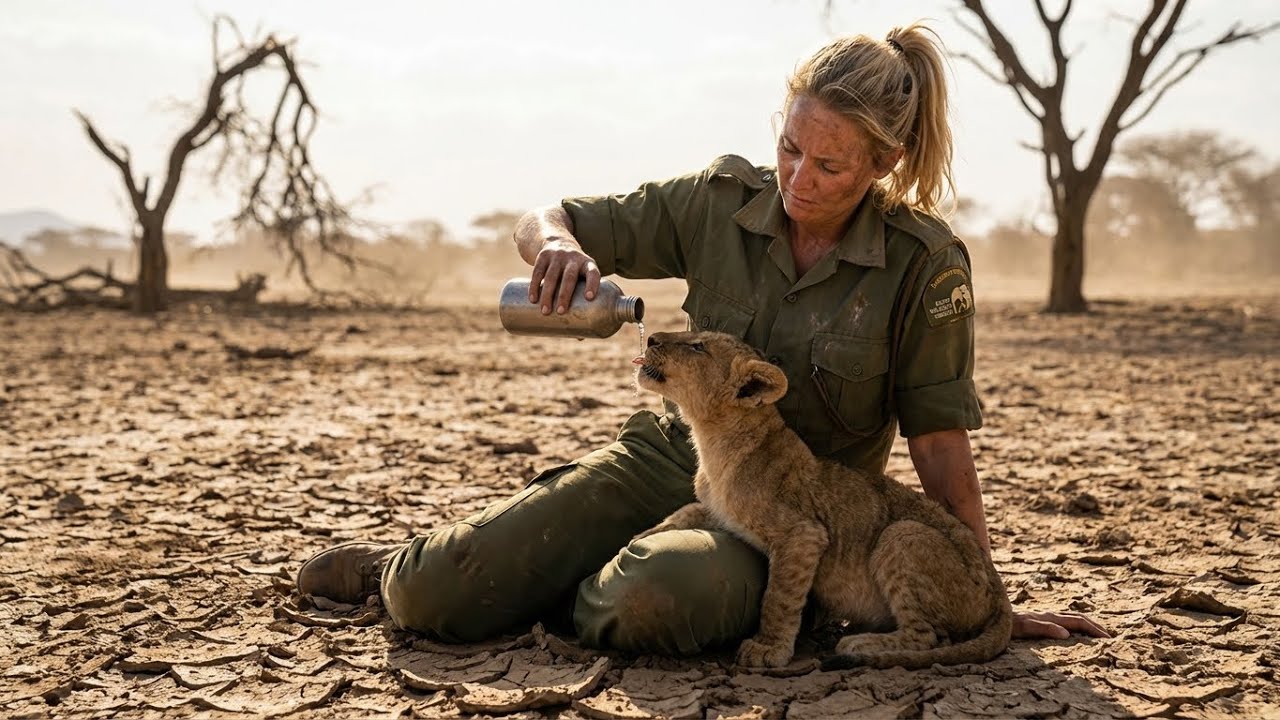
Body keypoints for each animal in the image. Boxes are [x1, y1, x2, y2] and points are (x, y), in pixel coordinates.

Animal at [632, 330, 1011, 669]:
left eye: (698, 346)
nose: (651, 338)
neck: (714, 440)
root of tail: (998, 593)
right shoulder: (718, 510)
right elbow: (682, 513)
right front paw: (640, 537)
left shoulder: (803, 534)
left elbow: (779, 597)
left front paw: (767, 649)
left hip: (902, 535)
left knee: (929, 636)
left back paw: (860, 644)